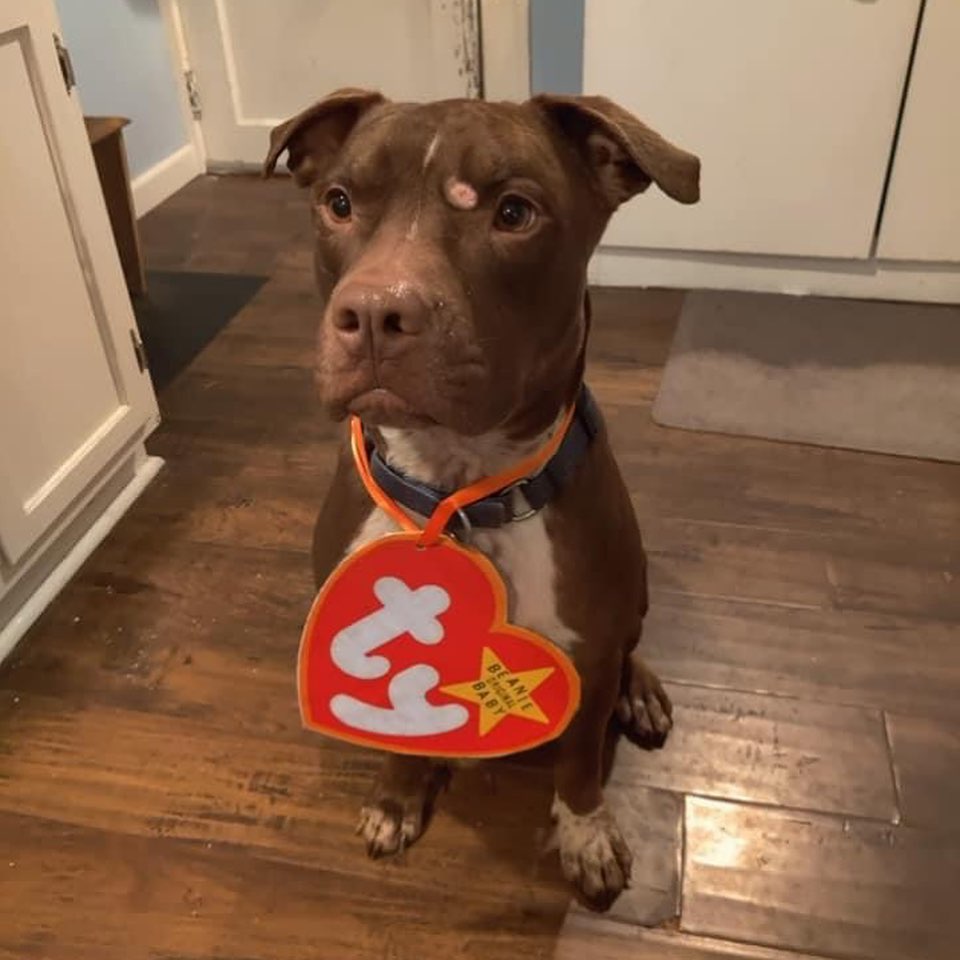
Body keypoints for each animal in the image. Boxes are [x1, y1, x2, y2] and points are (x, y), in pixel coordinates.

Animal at [266, 88, 700, 908]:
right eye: (339, 203)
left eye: (513, 212)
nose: (376, 312)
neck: (459, 487)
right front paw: (399, 798)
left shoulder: (587, 652)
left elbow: (579, 760)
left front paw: (585, 832)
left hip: (636, 591)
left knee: (631, 646)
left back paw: (641, 692)